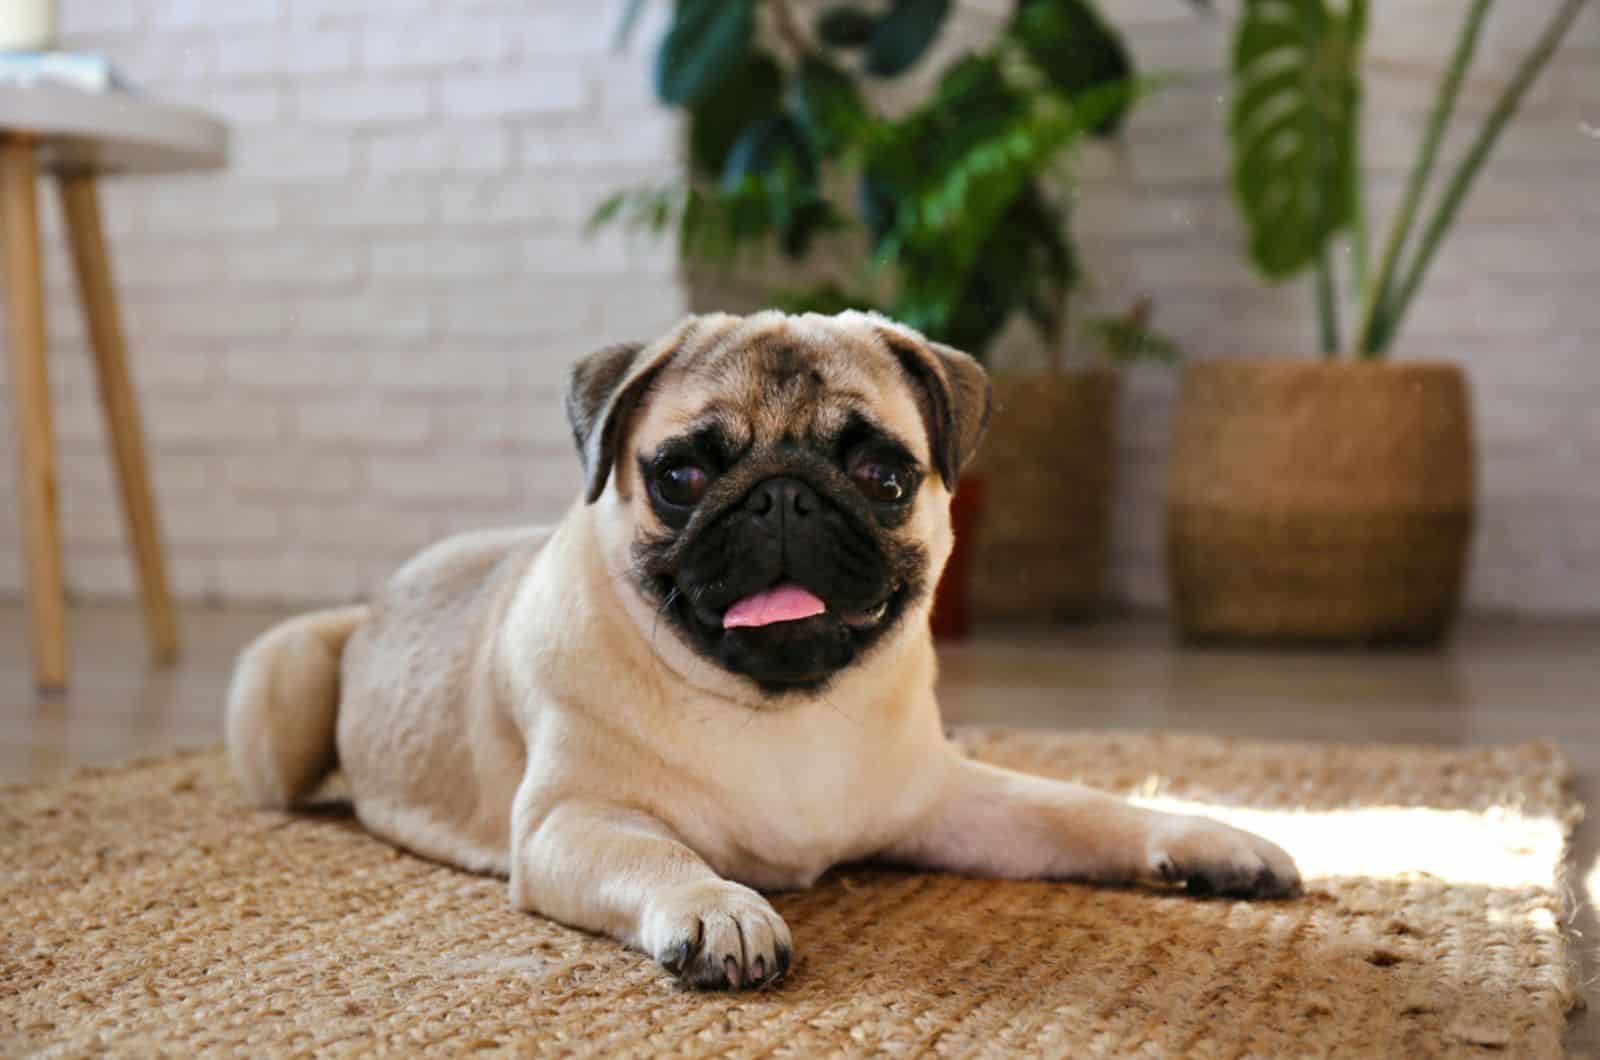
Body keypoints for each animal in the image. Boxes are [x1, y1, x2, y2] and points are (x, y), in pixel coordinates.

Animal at [225, 312, 1299, 992]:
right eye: (681, 476)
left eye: (883, 474)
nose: (783, 495)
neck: (783, 709)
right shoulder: (574, 823)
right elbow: (661, 853)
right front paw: (719, 907)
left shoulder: (948, 802)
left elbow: (1080, 808)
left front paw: (1209, 840)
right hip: (281, 681)